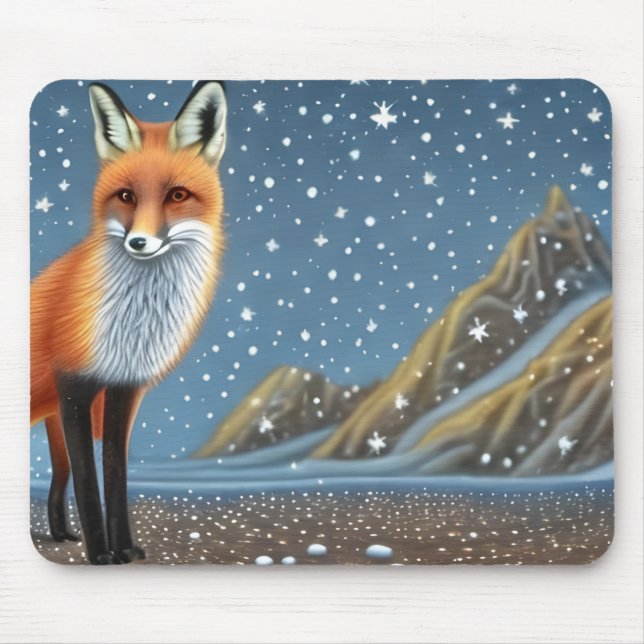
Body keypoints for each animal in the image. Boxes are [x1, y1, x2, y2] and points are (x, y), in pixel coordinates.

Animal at [30, 81, 227, 564]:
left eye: (177, 195)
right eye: (126, 196)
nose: (139, 242)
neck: (134, 326)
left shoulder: (122, 389)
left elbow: (116, 474)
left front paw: (123, 547)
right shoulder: (74, 388)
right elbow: (88, 479)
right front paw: (102, 554)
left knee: (56, 479)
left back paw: (60, 533)